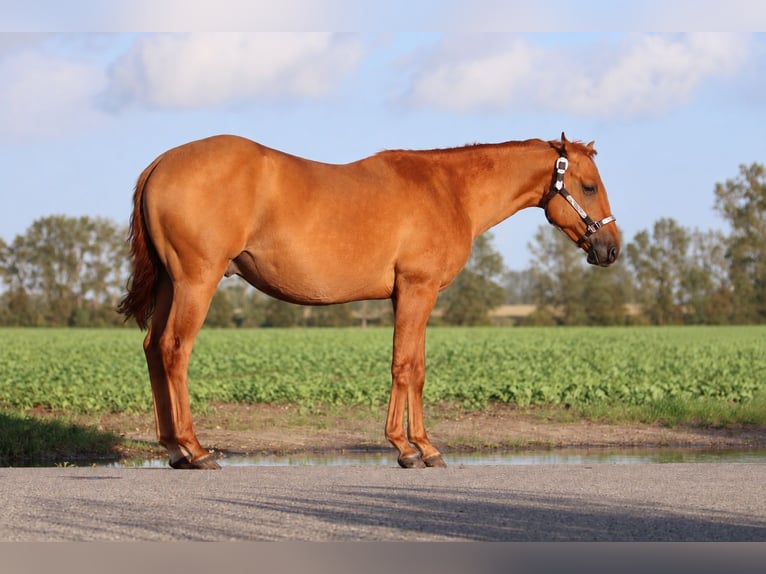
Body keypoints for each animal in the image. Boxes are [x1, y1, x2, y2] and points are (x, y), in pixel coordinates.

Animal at [119, 132, 619, 469]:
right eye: (589, 186)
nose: (610, 249)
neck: (449, 189)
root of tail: (161, 163)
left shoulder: (408, 295)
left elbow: (414, 367)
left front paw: (418, 446)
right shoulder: (417, 289)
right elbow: (406, 366)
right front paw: (412, 448)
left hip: (170, 283)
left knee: (151, 348)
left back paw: (173, 449)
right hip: (196, 281)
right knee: (174, 349)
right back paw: (196, 450)